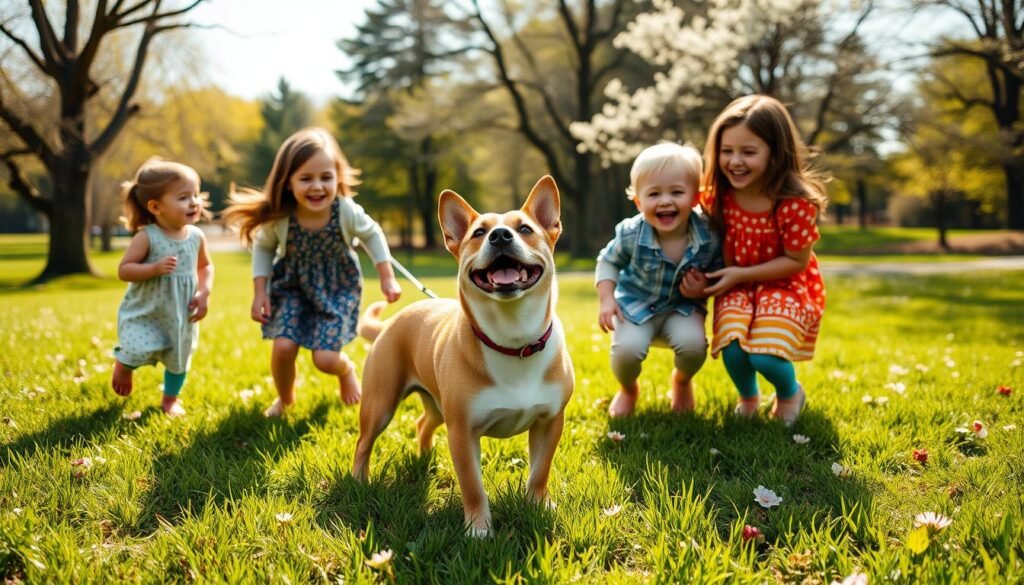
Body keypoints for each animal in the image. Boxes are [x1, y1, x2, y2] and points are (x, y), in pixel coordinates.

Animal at [352, 176, 577, 536]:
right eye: (478, 233)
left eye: (525, 229)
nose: (500, 235)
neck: (513, 340)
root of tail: (390, 322)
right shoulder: (461, 431)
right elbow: (472, 485)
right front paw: (479, 530)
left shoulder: (550, 422)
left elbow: (540, 472)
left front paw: (538, 506)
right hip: (380, 402)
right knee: (364, 442)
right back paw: (360, 479)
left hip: (435, 403)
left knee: (423, 422)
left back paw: (424, 457)